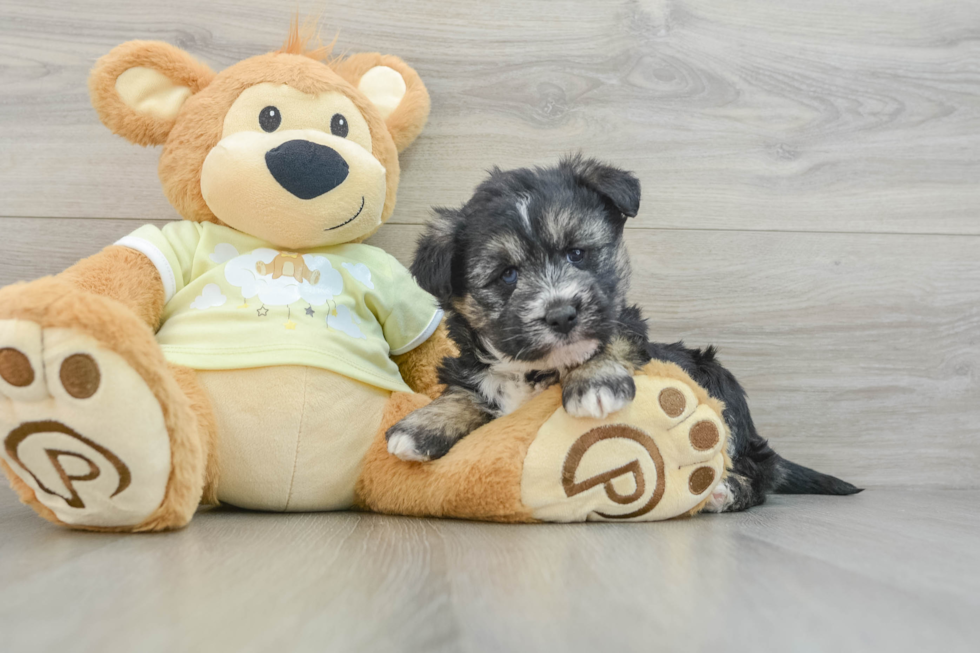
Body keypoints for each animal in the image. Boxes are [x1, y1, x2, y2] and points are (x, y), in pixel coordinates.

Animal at [386, 155, 860, 512]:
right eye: (507, 275)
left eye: (578, 254)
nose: (562, 314)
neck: (537, 370)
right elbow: (468, 389)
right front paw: (421, 425)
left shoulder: (625, 326)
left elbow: (607, 343)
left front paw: (593, 384)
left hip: (719, 384)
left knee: (758, 471)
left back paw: (725, 491)